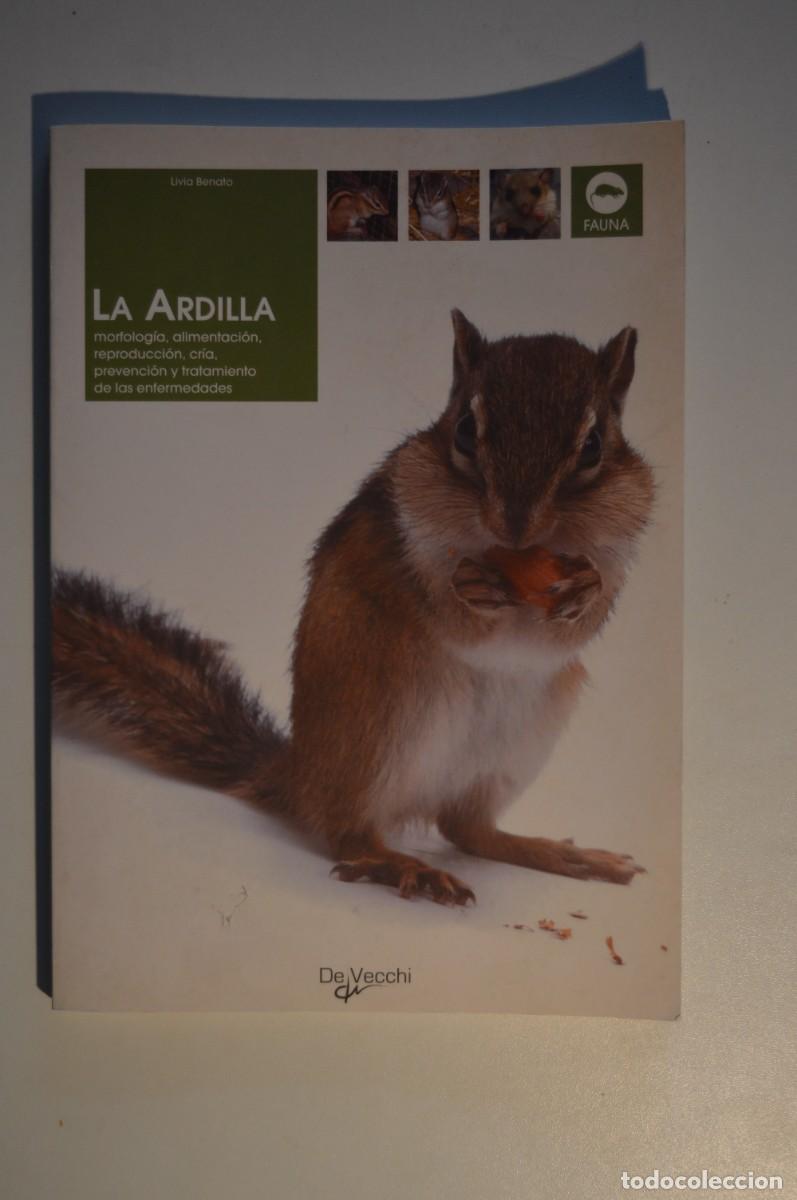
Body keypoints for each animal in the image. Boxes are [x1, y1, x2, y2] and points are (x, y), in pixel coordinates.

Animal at [52, 310, 654, 906]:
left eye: (593, 445)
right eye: (465, 429)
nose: (515, 526)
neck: (515, 558)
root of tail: (300, 777)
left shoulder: (619, 552)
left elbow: (579, 623)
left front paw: (585, 589)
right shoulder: (409, 538)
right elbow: (448, 610)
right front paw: (468, 586)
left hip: (517, 743)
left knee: (468, 829)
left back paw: (562, 854)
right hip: (382, 721)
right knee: (349, 834)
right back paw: (401, 865)